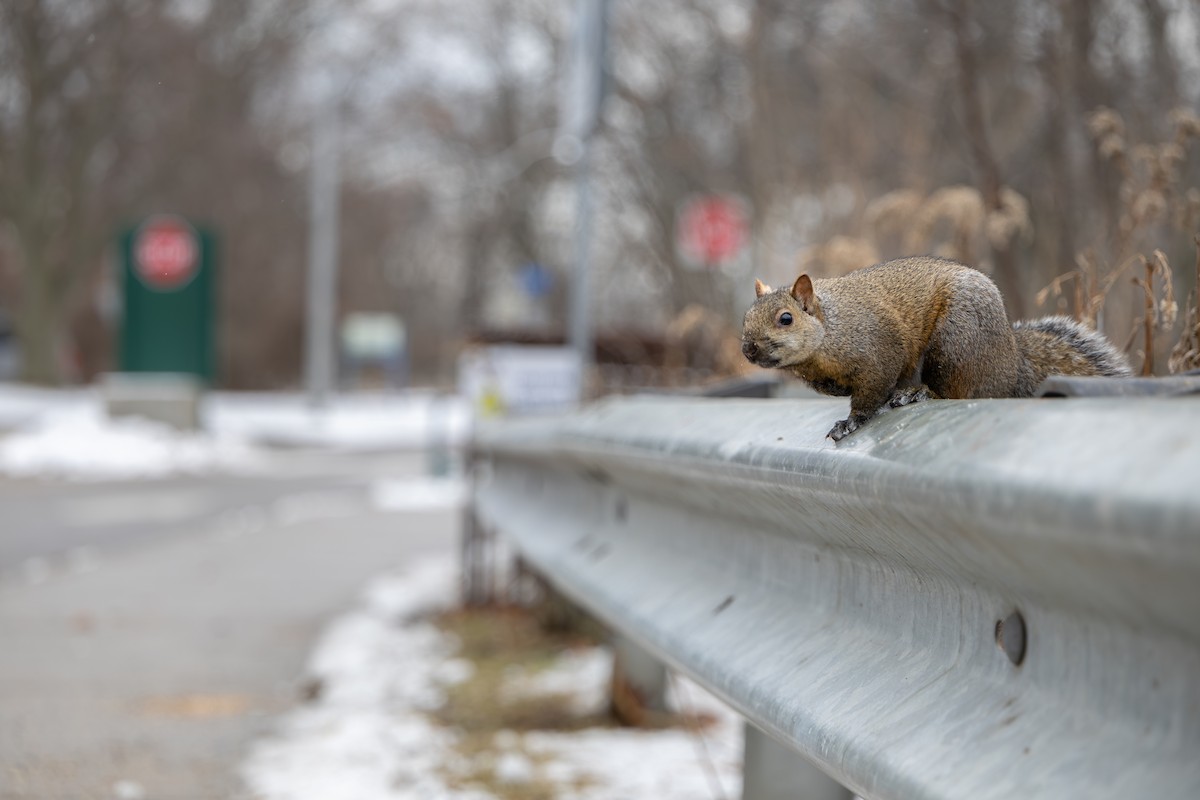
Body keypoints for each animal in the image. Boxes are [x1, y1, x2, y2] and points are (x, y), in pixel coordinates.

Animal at [740, 256, 1131, 441]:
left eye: (786, 318)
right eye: (745, 317)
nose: (748, 349)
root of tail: (1011, 361)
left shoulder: (879, 349)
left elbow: (872, 391)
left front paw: (851, 421)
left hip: (955, 344)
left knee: (954, 390)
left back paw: (919, 393)